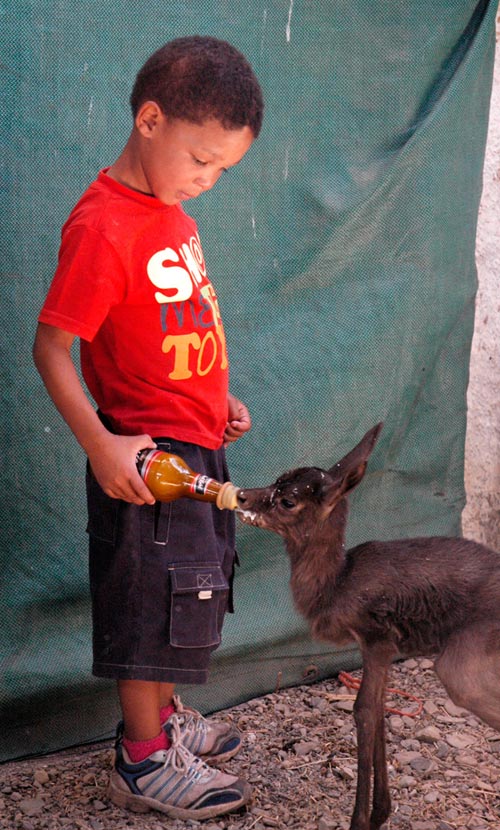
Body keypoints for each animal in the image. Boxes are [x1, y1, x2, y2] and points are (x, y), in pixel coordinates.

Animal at [236, 423, 500, 830]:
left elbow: (363, 710)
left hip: (463, 665)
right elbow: (378, 708)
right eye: (276, 481)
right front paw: (380, 813)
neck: (336, 584)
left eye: (288, 500)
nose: (243, 495)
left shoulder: (376, 639)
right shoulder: (381, 647)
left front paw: (360, 820)